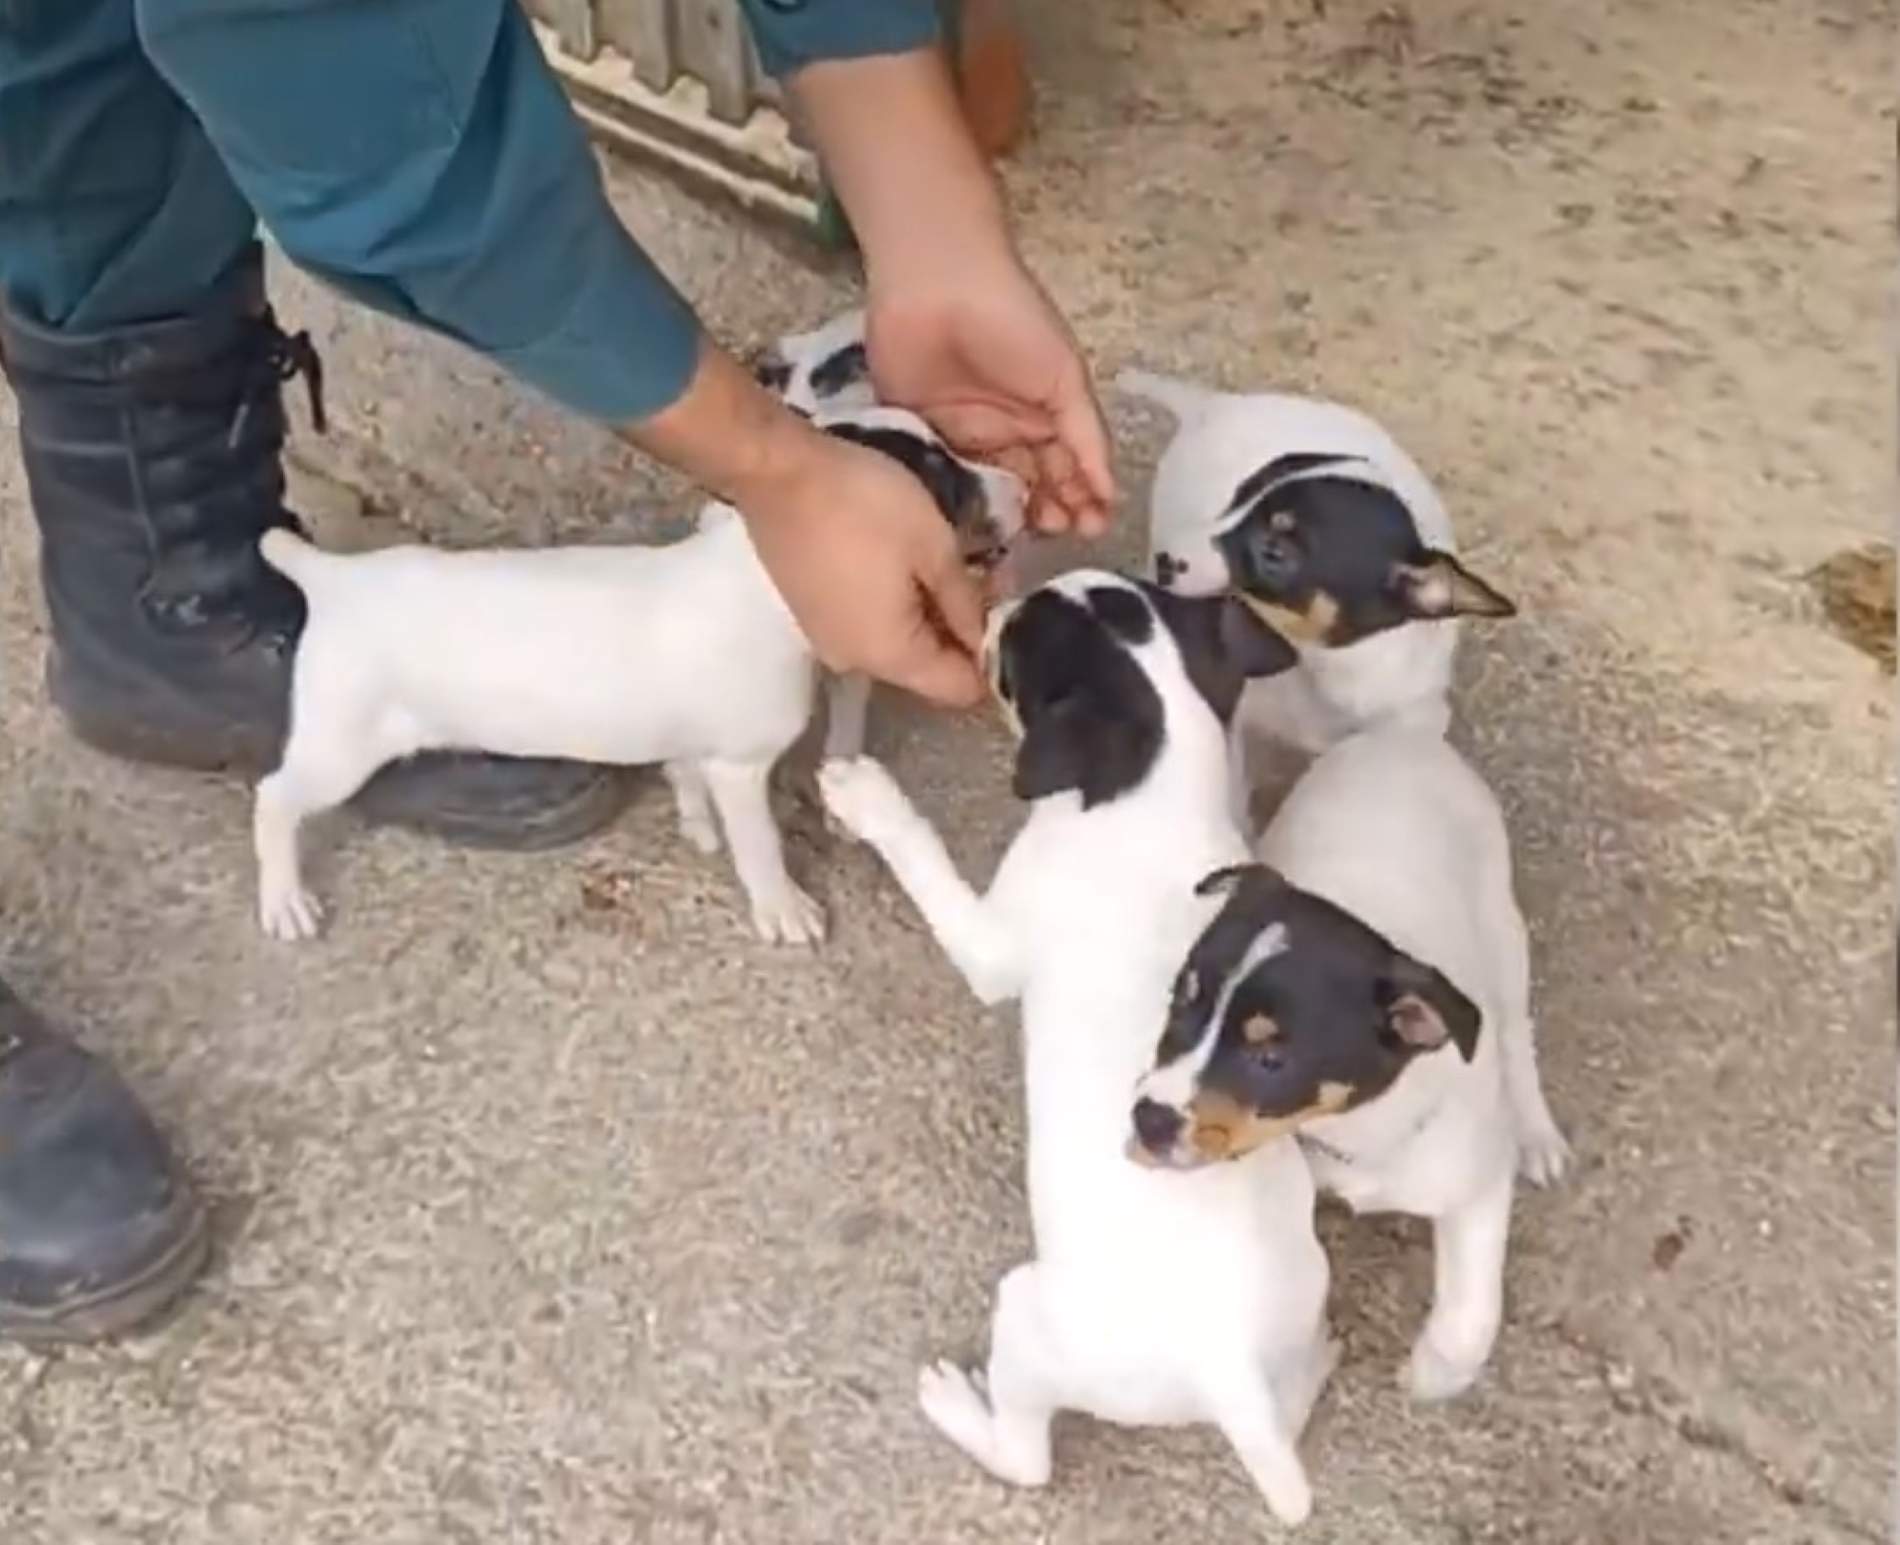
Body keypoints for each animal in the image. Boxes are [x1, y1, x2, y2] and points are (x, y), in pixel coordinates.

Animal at [252, 404, 1026, 946]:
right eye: (944, 478)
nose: (1022, 486)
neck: (759, 570)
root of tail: (332, 578)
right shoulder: (742, 767)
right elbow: (760, 844)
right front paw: (781, 907)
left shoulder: (697, 746)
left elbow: (685, 774)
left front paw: (695, 822)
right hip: (342, 743)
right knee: (274, 798)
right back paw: (284, 898)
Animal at [817, 573, 1337, 1527]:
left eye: (1013, 652)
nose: (991, 605)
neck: (1153, 791)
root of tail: (1227, 1373)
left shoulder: (992, 945)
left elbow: (926, 862)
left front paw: (868, 799)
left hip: (1025, 1312)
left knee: (1027, 1460)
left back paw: (959, 1405)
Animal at [1124, 722, 1573, 1398]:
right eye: (1182, 1002)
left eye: (1271, 1058)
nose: (1147, 1120)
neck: (1352, 1130)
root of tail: (1402, 735)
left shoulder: (1477, 1186)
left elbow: (1474, 1304)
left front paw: (1437, 1371)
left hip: (1503, 929)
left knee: (1517, 1033)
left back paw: (1537, 1133)